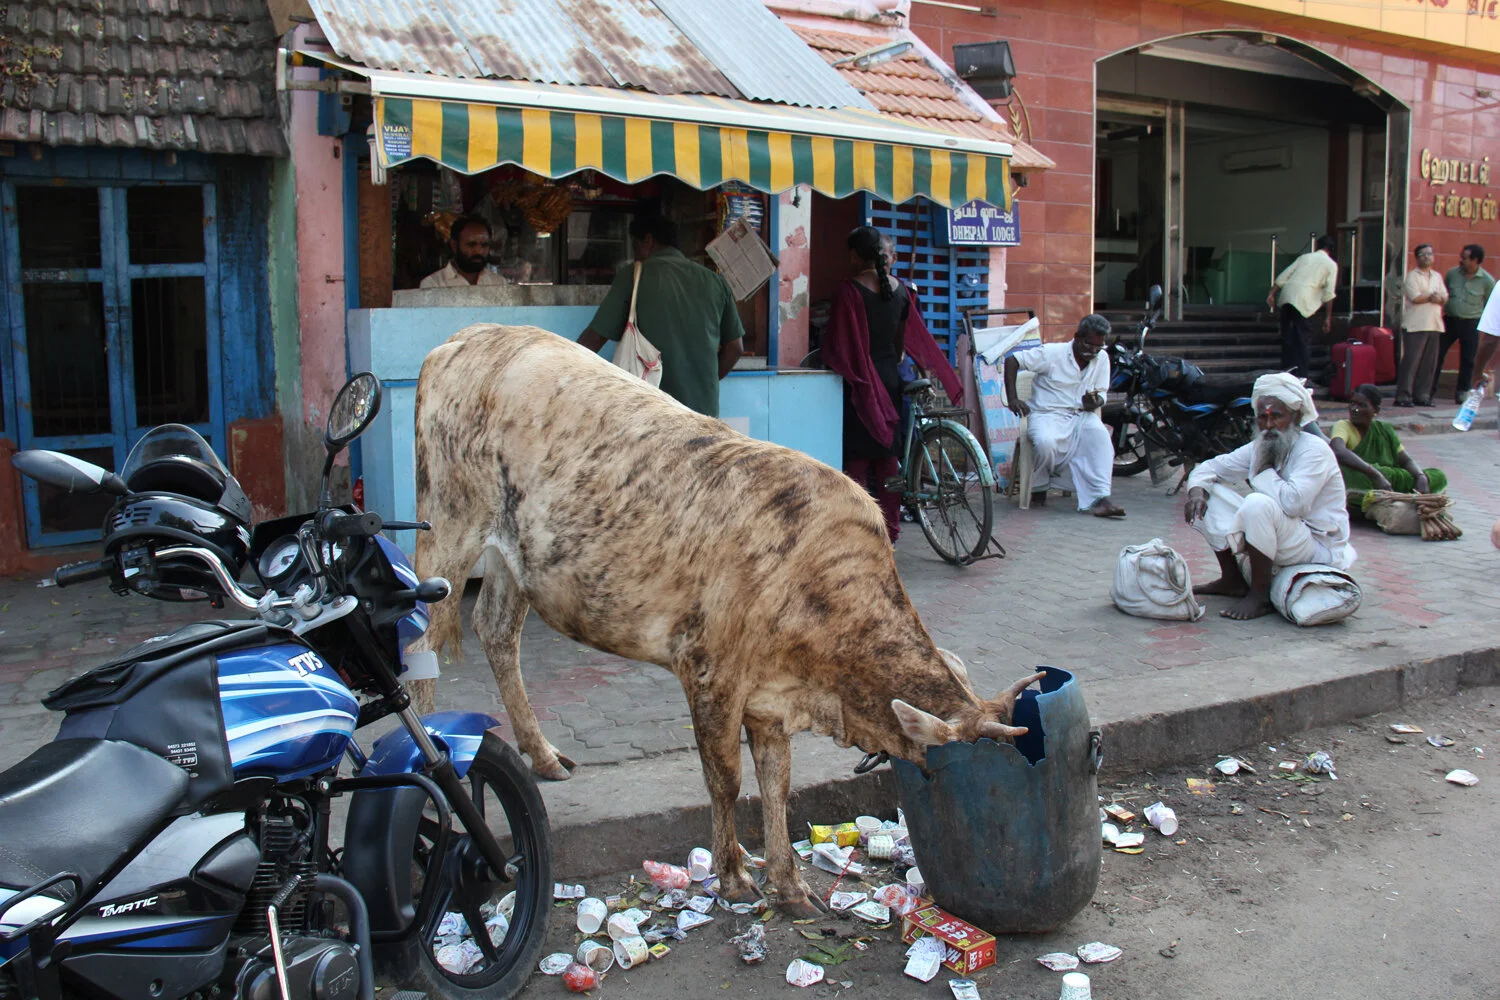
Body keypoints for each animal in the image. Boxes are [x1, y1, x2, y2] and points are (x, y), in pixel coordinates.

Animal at [410, 324, 1041, 916]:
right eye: (952, 772)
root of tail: (467, 337)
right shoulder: (708, 671)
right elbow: (727, 778)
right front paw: (734, 876)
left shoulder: (770, 698)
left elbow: (777, 784)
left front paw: (789, 884)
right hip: (447, 522)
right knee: (420, 645)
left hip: (515, 557)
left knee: (497, 631)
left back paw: (541, 754)